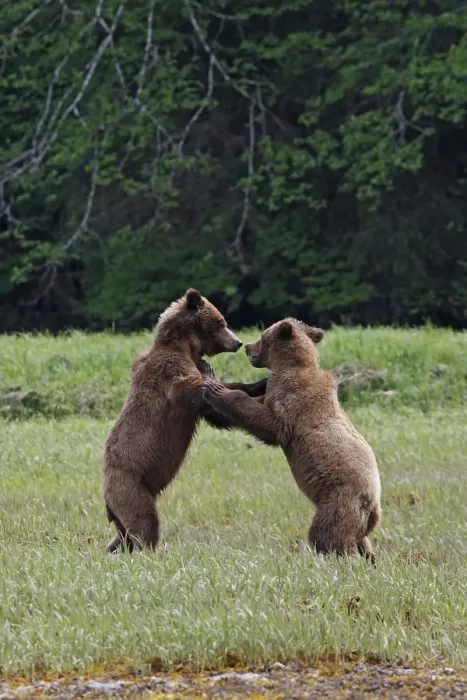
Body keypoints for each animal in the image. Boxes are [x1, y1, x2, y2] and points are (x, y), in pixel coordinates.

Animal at [103, 288, 267, 553]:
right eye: (222, 322)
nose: (238, 342)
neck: (186, 347)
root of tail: (106, 497)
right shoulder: (171, 373)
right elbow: (195, 392)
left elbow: (216, 412)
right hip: (131, 487)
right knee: (145, 523)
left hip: (124, 505)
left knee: (124, 536)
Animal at [203, 318, 381, 562]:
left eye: (262, 335)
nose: (247, 346)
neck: (290, 366)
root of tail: (374, 506)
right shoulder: (273, 394)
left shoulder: (293, 401)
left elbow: (271, 425)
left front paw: (217, 389)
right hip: (359, 519)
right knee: (362, 543)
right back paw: (370, 558)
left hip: (340, 501)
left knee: (327, 534)